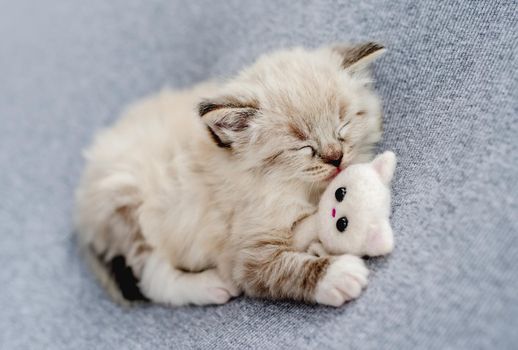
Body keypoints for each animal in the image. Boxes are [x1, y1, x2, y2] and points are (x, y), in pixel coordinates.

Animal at [76, 43, 386, 306]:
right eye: (303, 145)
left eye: (343, 126)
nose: (336, 158)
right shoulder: (246, 255)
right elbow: (287, 268)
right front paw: (339, 276)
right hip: (135, 209)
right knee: (153, 279)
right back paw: (212, 286)